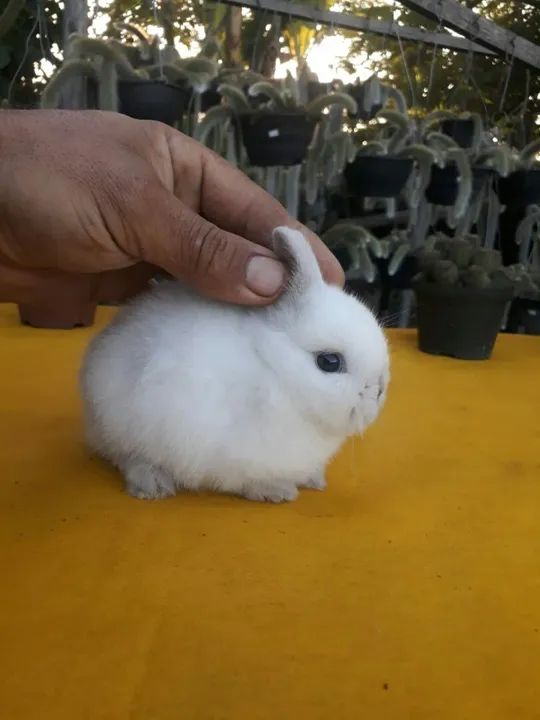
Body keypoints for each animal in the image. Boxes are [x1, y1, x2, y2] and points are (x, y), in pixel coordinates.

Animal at [79, 226, 390, 503]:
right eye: (329, 361)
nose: (378, 391)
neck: (276, 373)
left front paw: (315, 479)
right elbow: (246, 479)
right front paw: (277, 491)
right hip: (121, 423)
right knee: (128, 457)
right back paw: (152, 485)